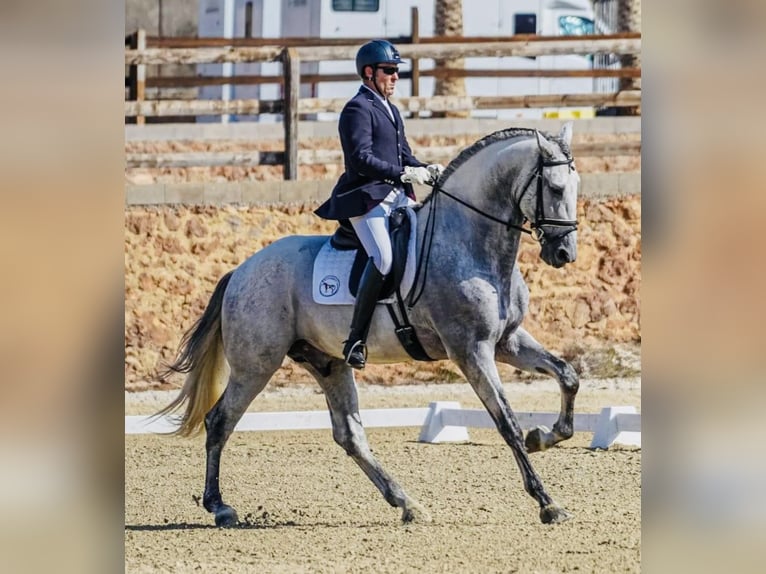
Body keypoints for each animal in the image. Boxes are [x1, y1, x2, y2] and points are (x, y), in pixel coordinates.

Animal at [159, 124, 584, 528]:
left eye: (576, 187)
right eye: (555, 187)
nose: (564, 253)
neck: (467, 242)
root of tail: (240, 271)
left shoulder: (506, 342)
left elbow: (568, 376)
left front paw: (543, 436)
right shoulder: (471, 350)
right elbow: (506, 422)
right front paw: (547, 503)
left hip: (328, 363)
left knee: (350, 434)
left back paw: (407, 503)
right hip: (256, 365)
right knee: (219, 421)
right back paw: (219, 507)